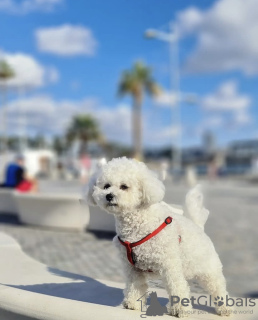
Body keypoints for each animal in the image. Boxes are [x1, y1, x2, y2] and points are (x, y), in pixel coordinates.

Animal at [85, 156, 231, 316]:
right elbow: (135, 286)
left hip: (208, 269)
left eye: (124, 186)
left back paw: (225, 307)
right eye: (106, 186)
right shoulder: (132, 268)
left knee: (218, 287)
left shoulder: (169, 265)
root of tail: (198, 226)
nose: (109, 196)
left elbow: (177, 286)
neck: (138, 223)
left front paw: (180, 309)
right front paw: (133, 304)